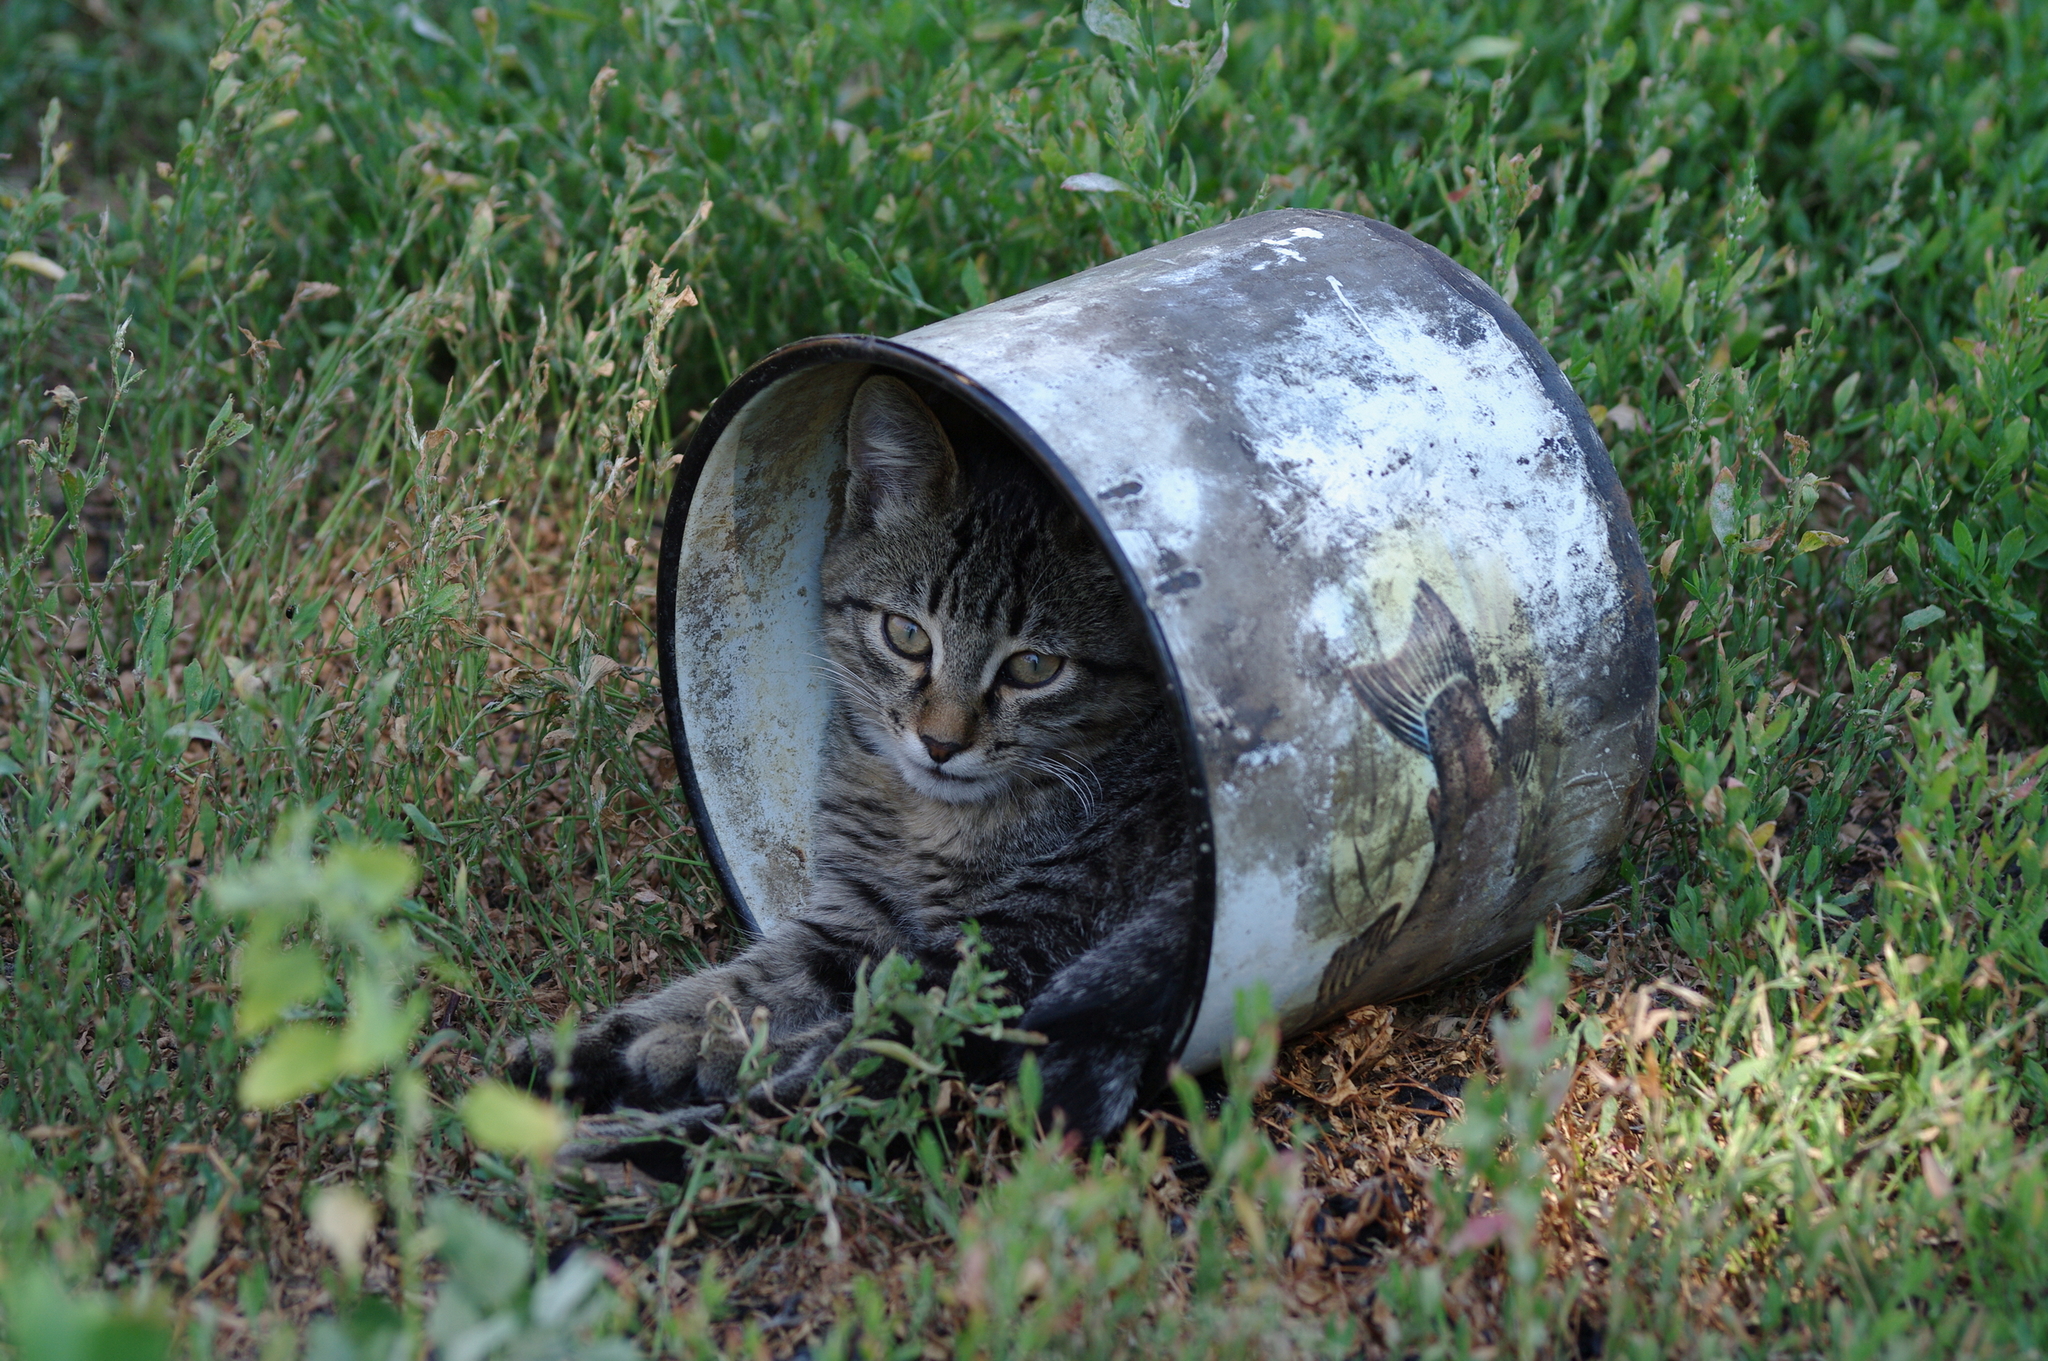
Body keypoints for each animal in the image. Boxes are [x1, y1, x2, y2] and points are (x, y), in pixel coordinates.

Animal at [512, 372, 1204, 1137]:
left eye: (1033, 667)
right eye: (907, 634)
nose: (941, 742)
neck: (930, 819)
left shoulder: (1018, 940)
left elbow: (879, 1030)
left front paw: (699, 1055)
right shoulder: (855, 917)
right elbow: (740, 981)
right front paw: (594, 1046)